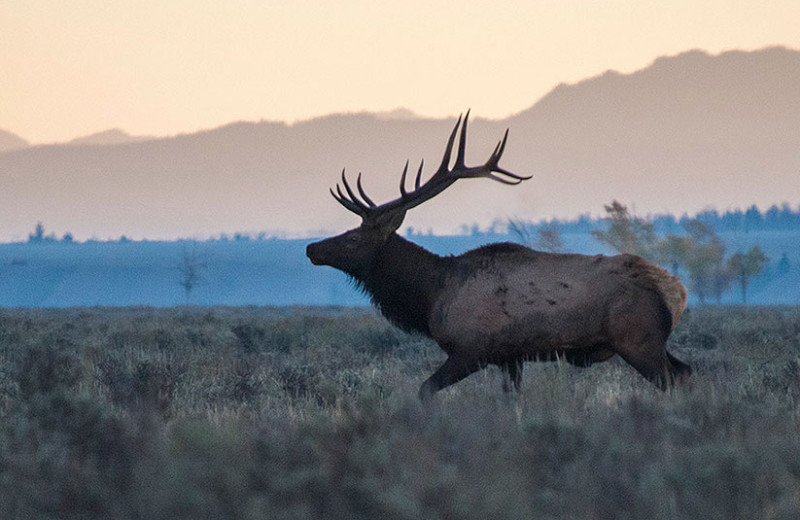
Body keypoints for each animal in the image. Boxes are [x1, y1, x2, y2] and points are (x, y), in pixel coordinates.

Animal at [304, 111, 692, 400]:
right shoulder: (511, 357)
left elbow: (425, 389)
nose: (311, 248)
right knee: (687, 372)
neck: (431, 295)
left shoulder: (471, 350)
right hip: (651, 342)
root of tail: (676, 291)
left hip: (639, 340)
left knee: (674, 380)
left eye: (353, 238)